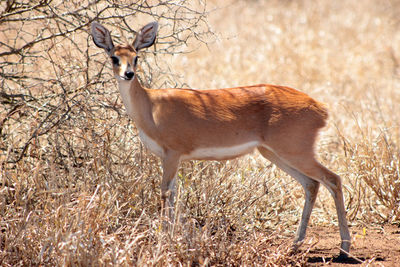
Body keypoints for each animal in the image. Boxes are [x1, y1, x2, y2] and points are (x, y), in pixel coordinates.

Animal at [90, 19, 350, 258]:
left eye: (136, 57)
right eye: (114, 57)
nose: (128, 74)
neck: (150, 106)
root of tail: (320, 108)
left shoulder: (172, 155)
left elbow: (165, 193)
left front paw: (164, 242)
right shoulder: (172, 159)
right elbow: (172, 194)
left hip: (295, 153)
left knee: (333, 180)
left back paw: (344, 249)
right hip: (274, 153)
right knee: (312, 184)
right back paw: (295, 245)